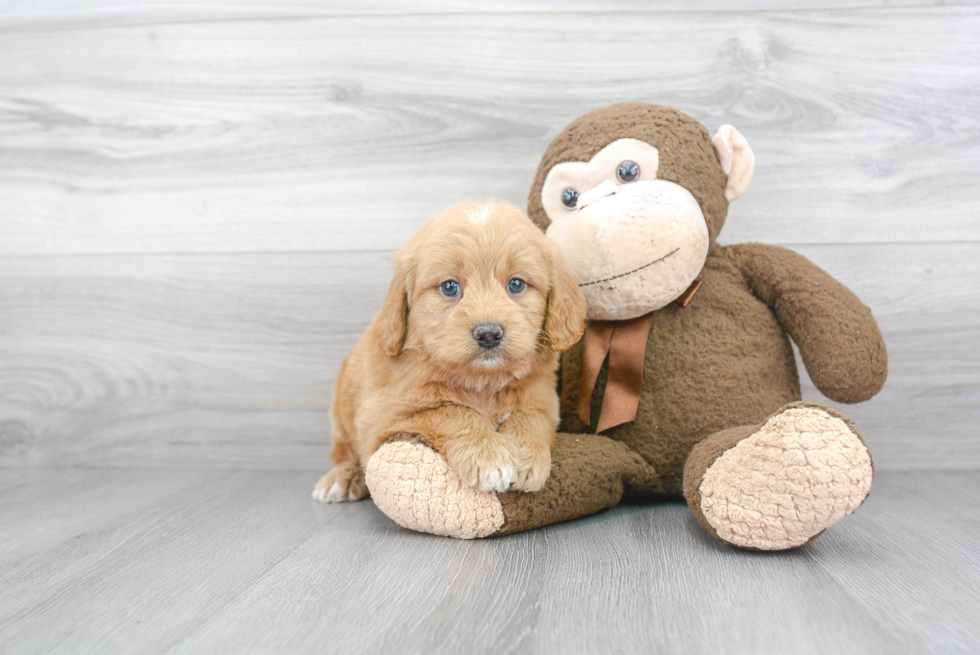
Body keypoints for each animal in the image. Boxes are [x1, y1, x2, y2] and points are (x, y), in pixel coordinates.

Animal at [314, 200, 584, 502]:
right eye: (450, 287)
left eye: (516, 284)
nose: (488, 334)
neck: (483, 383)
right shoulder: (385, 414)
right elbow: (450, 411)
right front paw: (488, 456)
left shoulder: (545, 403)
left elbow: (532, 418)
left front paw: (528, 456)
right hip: (342, 412)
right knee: (344, 453)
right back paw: (342, 478)